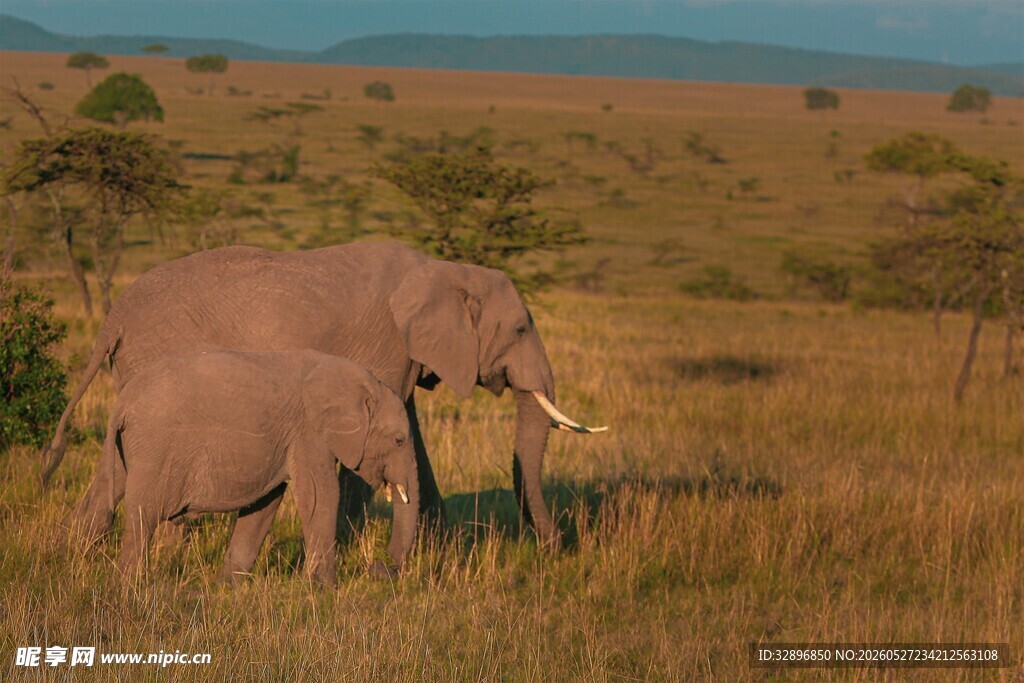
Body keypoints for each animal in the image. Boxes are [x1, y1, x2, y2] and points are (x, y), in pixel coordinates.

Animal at [42, 241, 606, 549]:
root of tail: (113, 316)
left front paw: (437, 549)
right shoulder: (385, 346)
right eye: (520, 329)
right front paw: (358, 546)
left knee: (115, 472)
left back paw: (74, 551)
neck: (445, 269)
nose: (555, 547)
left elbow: (411, 437)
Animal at [106, 349, 418, 585]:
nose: (379, 566)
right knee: (142, 517)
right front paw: (325, 588)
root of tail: (122, 402)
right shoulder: (309, 433)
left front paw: (227, 586)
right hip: (154, 449)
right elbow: (321, 497)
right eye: (399, 440)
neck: (361, 381)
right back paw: (129, 584)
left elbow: (265, 504)